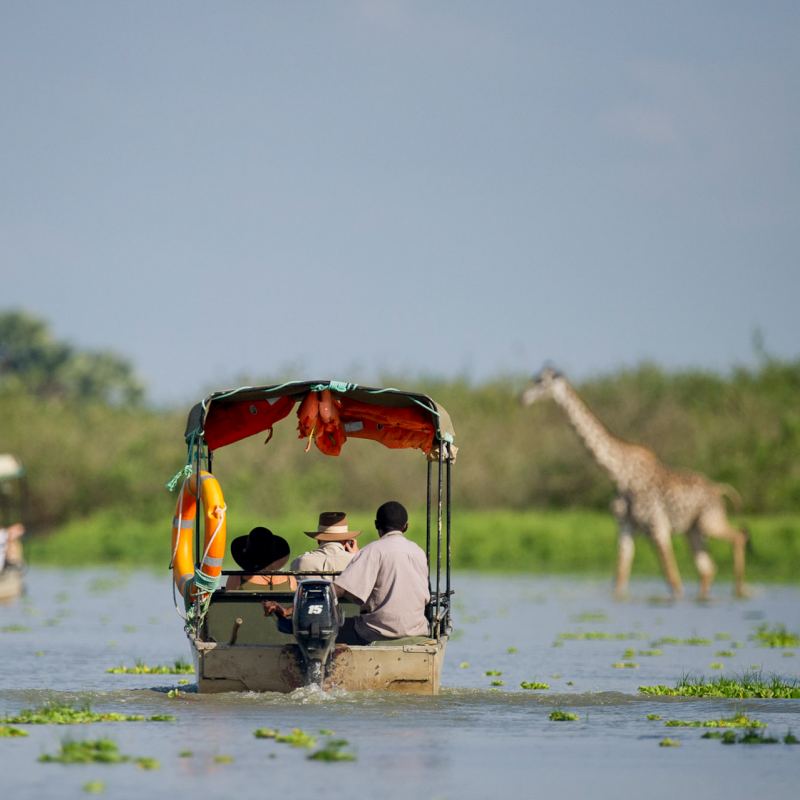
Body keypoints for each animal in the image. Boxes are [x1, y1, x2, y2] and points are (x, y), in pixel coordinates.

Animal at [520, 368, 752, 600]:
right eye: (534, 378)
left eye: (541, 382)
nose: (523, 397)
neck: (619, 474)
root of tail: (718, 488)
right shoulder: (625, 527)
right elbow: (620, 578)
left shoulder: (658, 527)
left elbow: (673, 580)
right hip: (693, 531)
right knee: (708, 569)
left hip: (709, 522)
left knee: (738, 538)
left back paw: (740, 591)